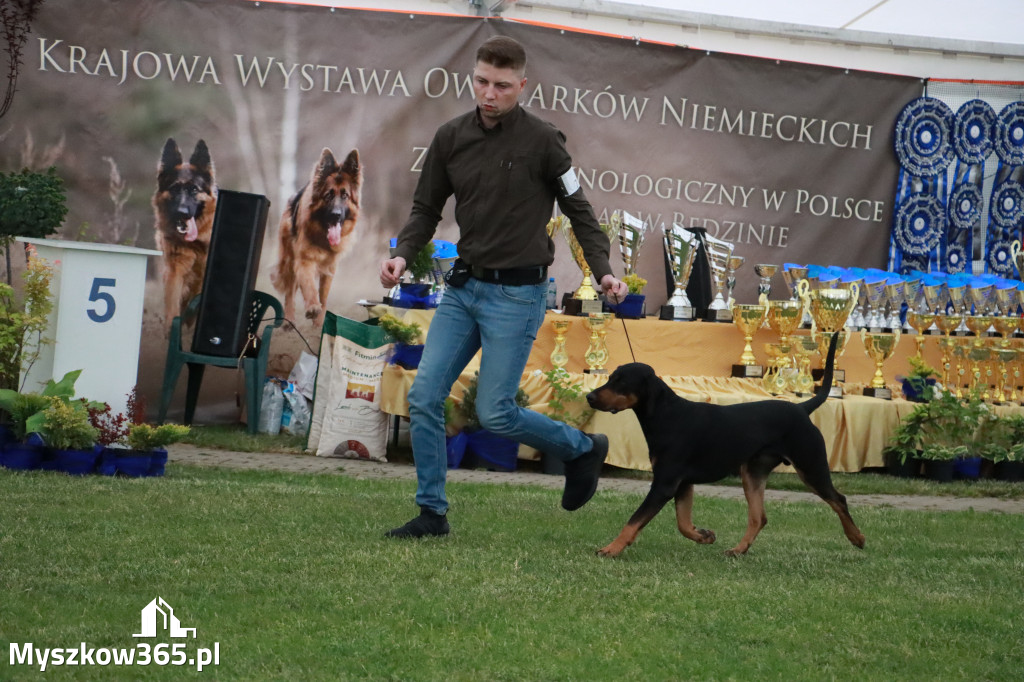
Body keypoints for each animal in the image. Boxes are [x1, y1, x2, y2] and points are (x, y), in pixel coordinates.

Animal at [585, 333, 864, 557]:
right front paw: (704, 536)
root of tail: (801, 408)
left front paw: (611, 549)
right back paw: (738, 550)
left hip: (810, 466)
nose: (589, 396)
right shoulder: (682, 484)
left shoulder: (665, 483)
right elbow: (683, 523)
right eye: (610, 378)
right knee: (758, 517)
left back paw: (857, 538)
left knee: (839, 499)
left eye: (621, 381)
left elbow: (634, 520)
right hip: (752, 473)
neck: (667, 414)